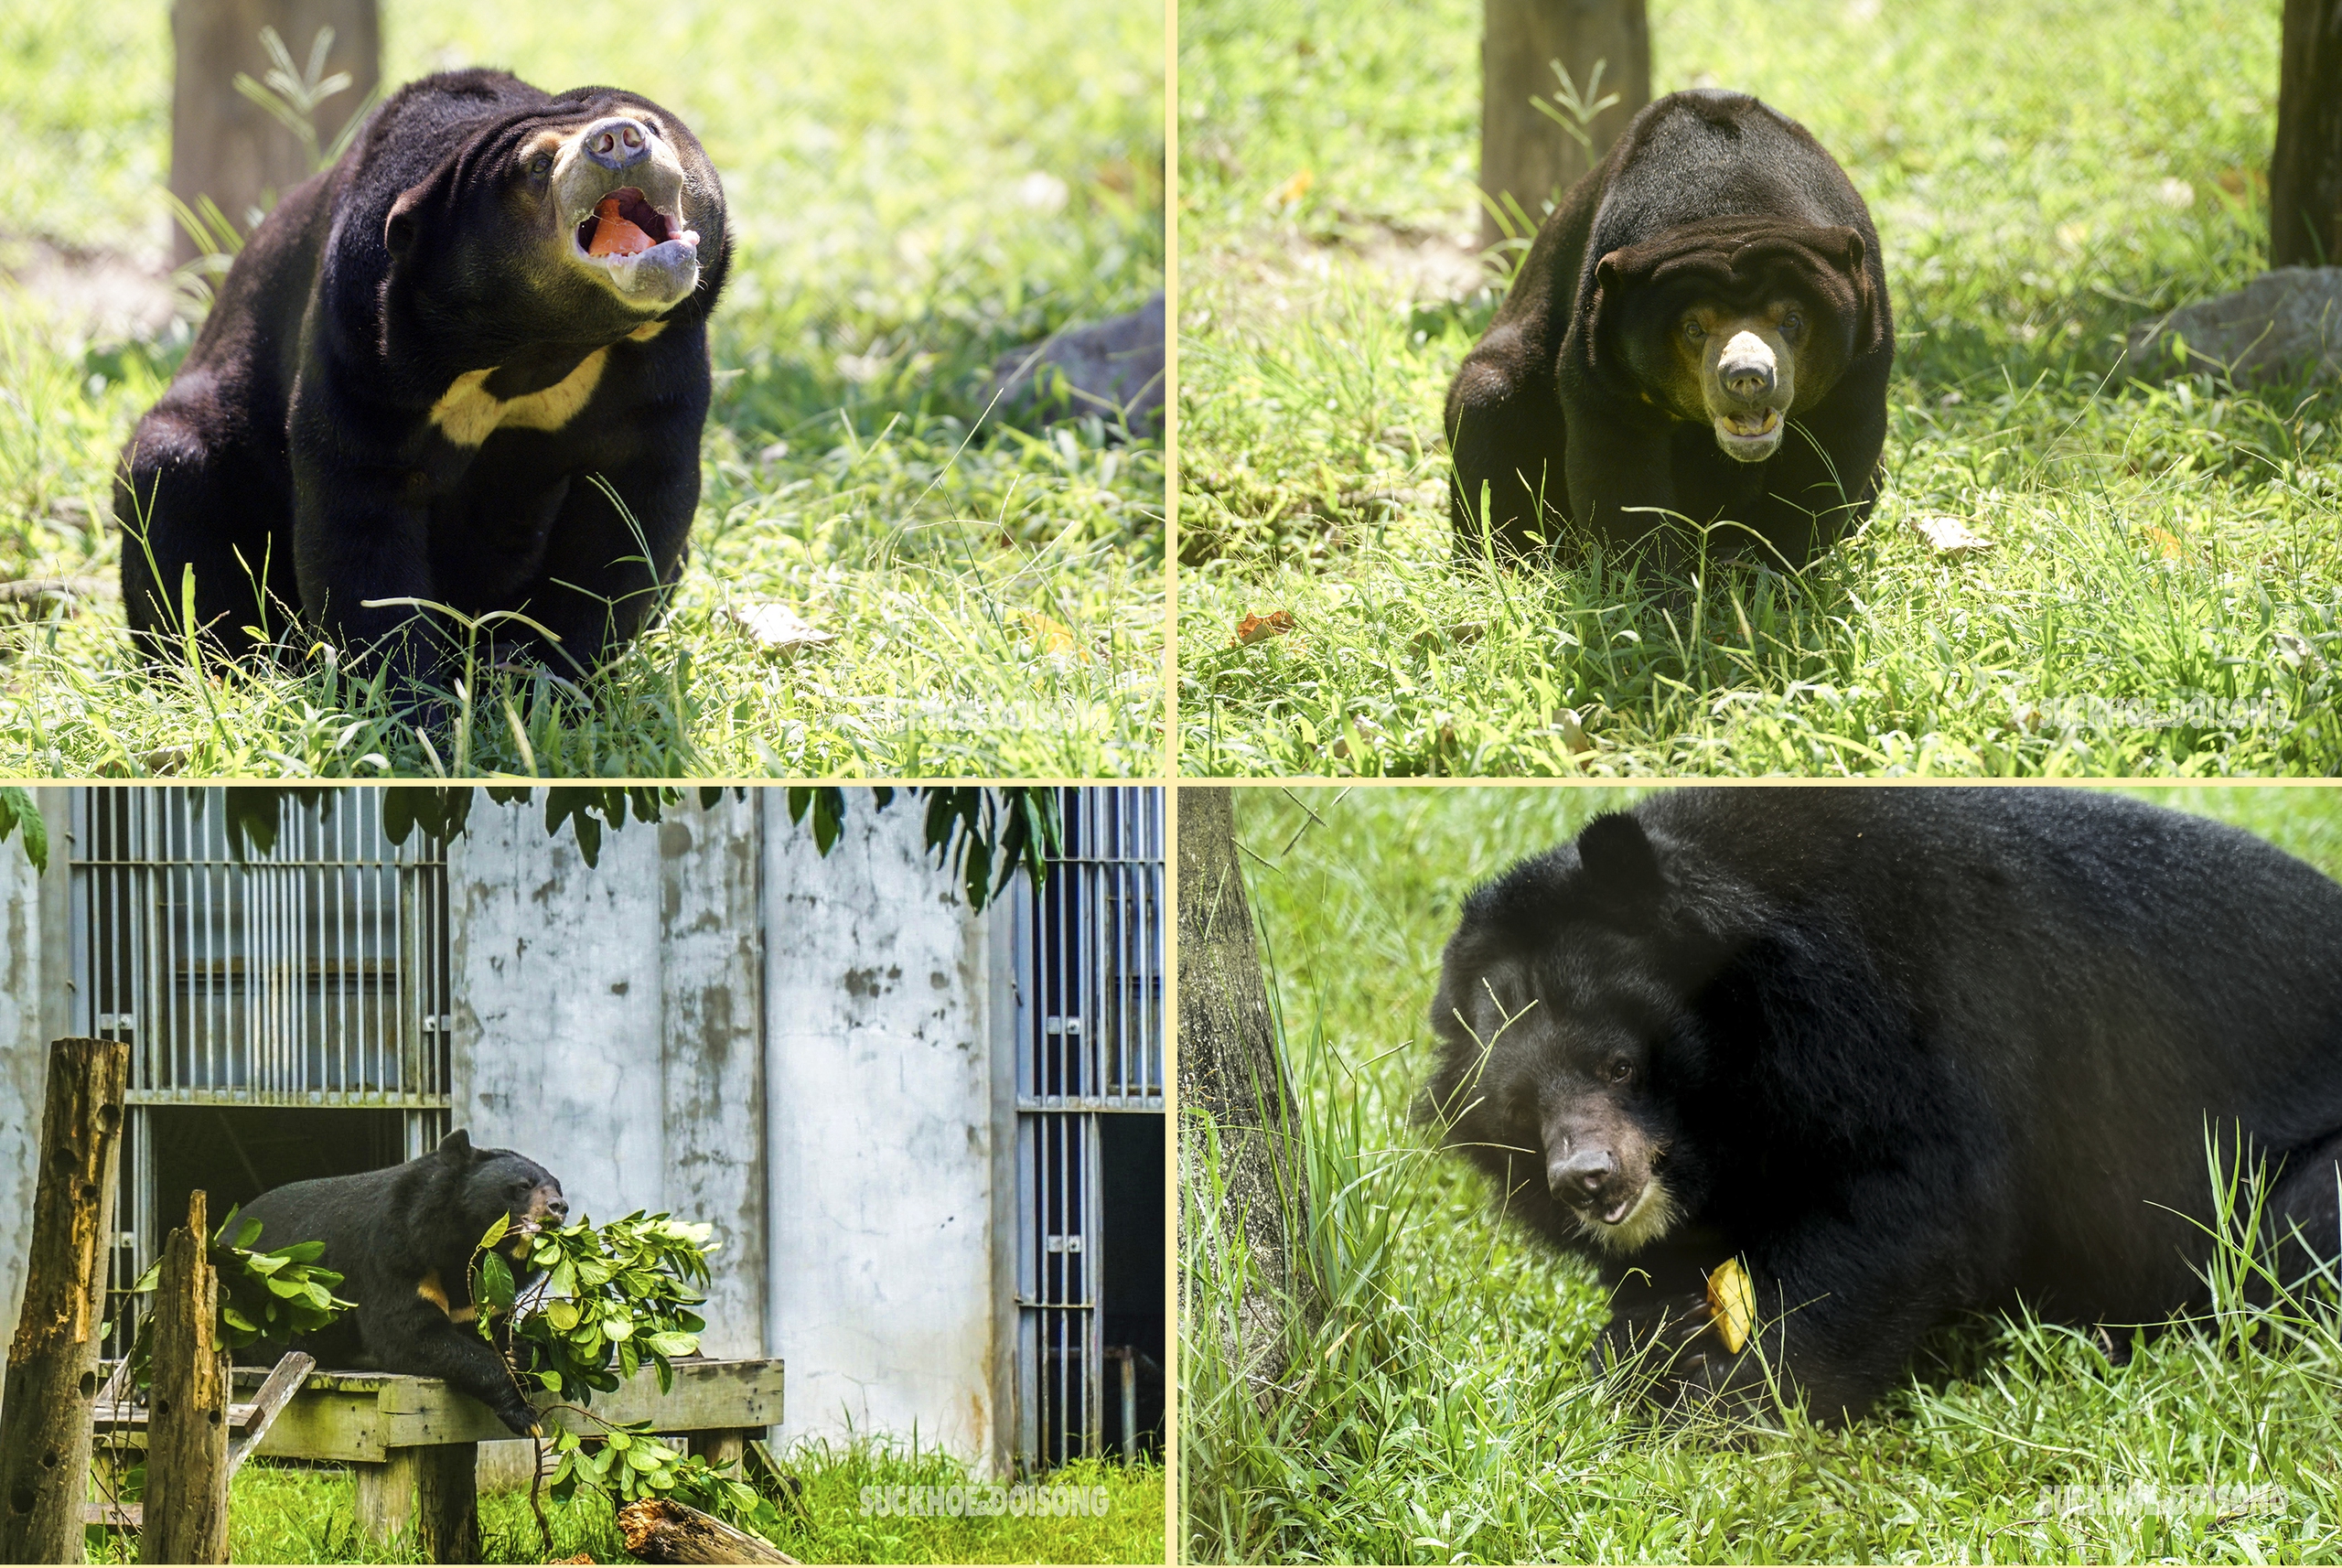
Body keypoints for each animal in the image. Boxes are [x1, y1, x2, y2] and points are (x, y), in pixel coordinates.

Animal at [110, 69, 725, 702]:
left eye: (651, 127)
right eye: (536, 166)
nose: (619, 140)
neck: (539, 343)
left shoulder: (661, 356)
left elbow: (629, 522)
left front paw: (554, 682)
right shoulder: (366, 347)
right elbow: (360, 519)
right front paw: (411, 705)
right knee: (170, 483)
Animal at [235, 1133, 569, 1441]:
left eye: (557, 1187)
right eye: (524, 1185)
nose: (559, 1206)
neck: (465, 1247)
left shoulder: (484, 1288)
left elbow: (491, 1329)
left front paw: (522, 1353)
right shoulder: (396, 1255)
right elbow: (410, 1333)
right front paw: (526, 1417)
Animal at [1414, 790, 2342, 1432]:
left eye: (1620, 1064)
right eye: (1521, 1108)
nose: (1589, 1182)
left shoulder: (1895, 1037)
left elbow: (1901, 1207)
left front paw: (1720, 1404)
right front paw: (1638, 1357)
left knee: (2293, 1239)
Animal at [1433, 91, 1892, 571]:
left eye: (1791, 319)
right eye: (1693, 327)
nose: (1747, 377)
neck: (1730, 211)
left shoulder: (1862, 352)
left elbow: (1828, 464)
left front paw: (1765, 570)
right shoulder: (1602, 356)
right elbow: (1618, 472)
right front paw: (1656, 584)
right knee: (1486, 408)